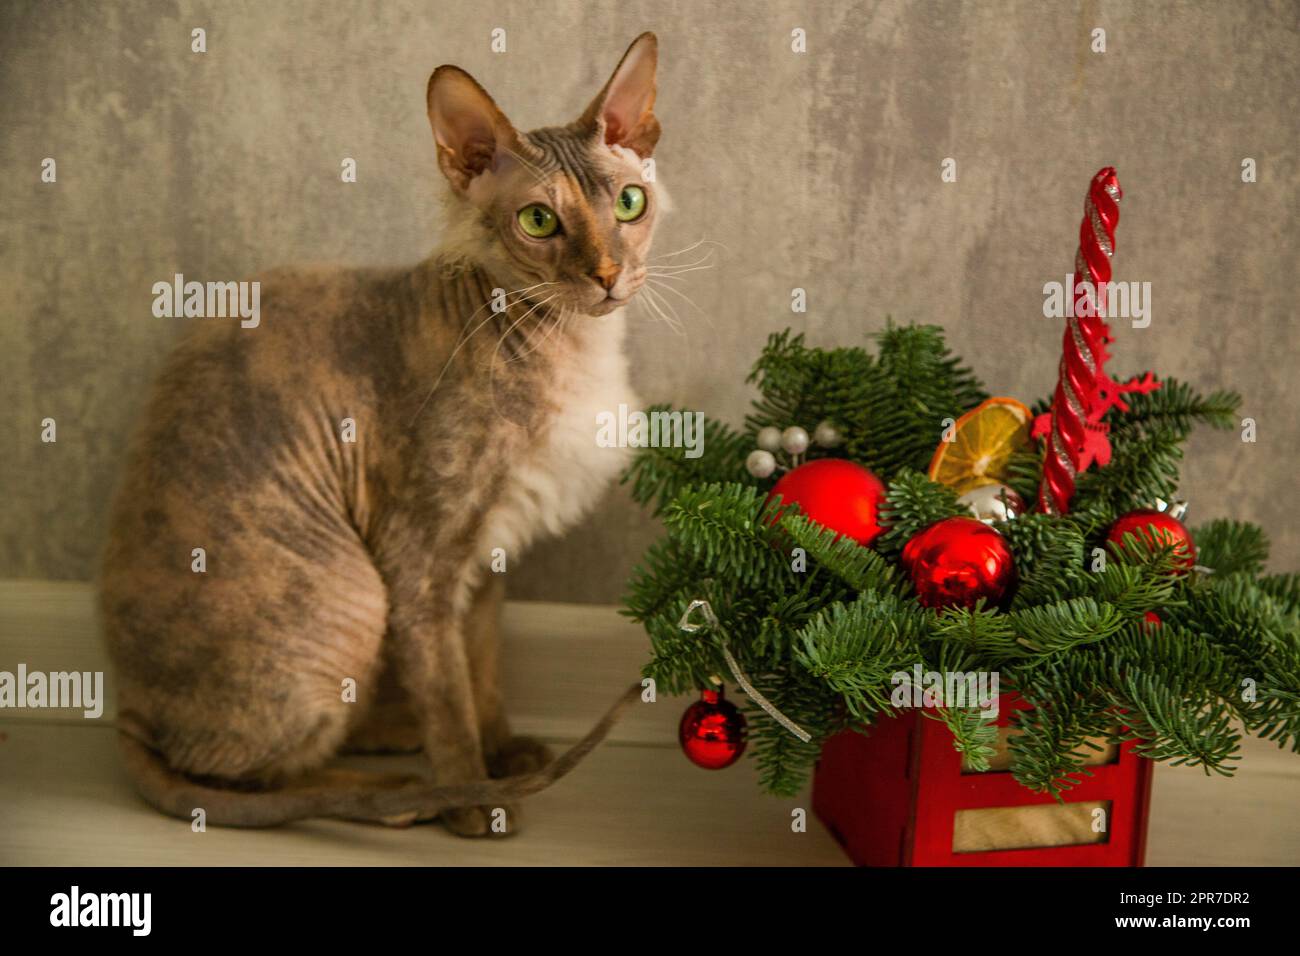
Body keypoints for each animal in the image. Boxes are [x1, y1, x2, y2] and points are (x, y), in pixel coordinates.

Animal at [102, 33, 665, 832]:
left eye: (629, 203)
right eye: (539, 222)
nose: (611, 274)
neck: (573, 349)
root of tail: (127, 711)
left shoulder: (489, 550)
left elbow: (482, 667)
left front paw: (500, 752)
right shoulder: (419, 558)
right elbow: (448, 690)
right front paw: (472, 797)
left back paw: (397, 741)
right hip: (357, 592)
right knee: (249, 778)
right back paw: (401, 791)